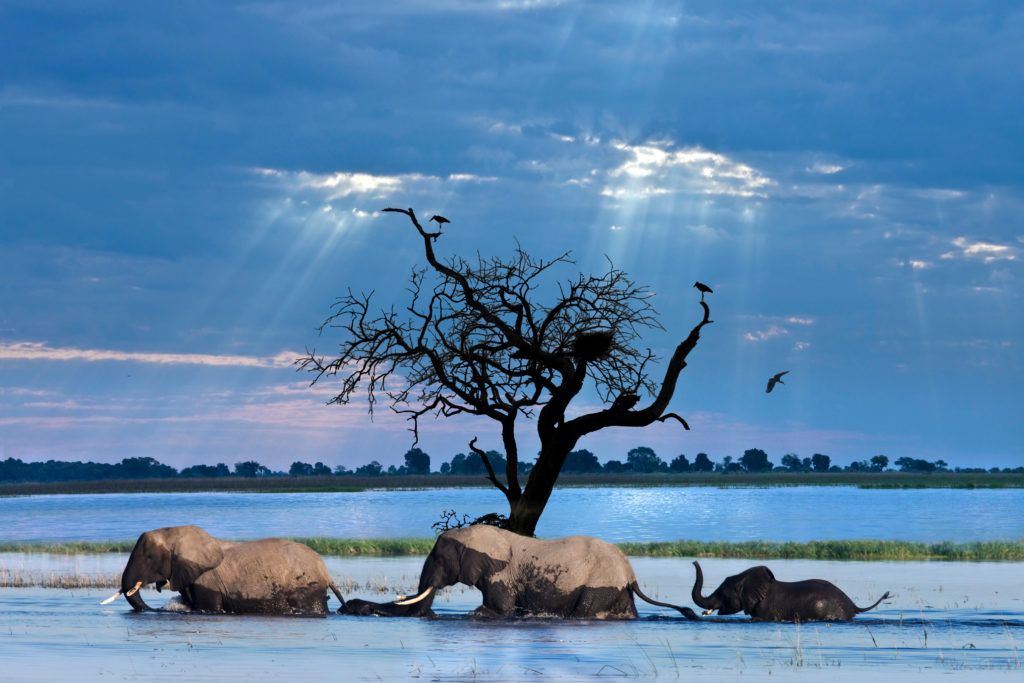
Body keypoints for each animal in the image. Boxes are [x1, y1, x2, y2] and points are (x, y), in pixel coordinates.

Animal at [388, 525, 698, 620]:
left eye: (438, 559)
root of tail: (630, 573)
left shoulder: (502, 575)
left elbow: (498, 609)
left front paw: (478, 614)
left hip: (599, 584)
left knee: (585, 611)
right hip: (616, 589)